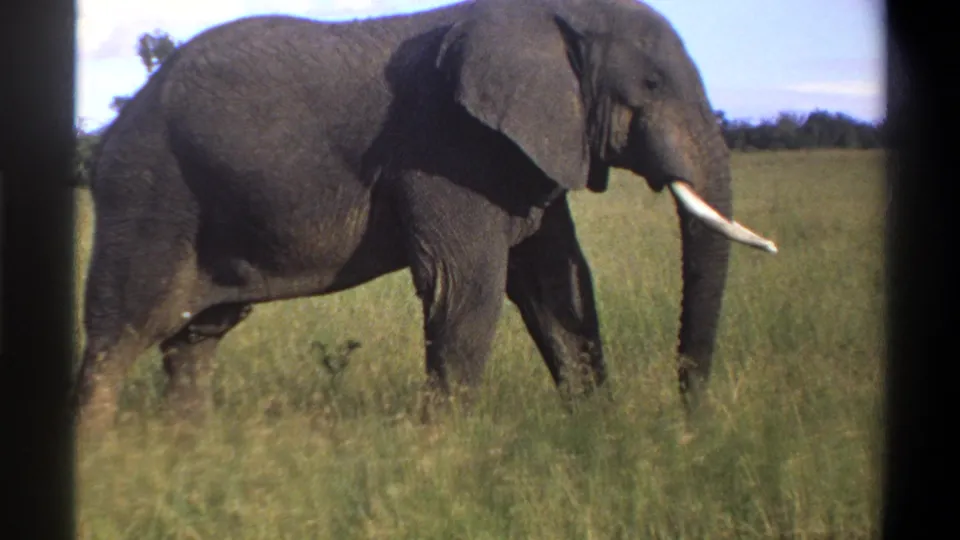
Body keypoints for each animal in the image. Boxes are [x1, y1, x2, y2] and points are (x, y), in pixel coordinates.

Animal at [73, 0, 777, 428]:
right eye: (652, 85)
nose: (688, 422)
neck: (547, 16)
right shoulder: (446, 146)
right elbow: (466, 288)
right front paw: (446, 453)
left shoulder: (522, 154)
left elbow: (559, 282)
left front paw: (597, 430)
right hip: (150, 190)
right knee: (119, 333)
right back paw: (106, 459)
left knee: (195, 339)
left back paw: (190, 447)